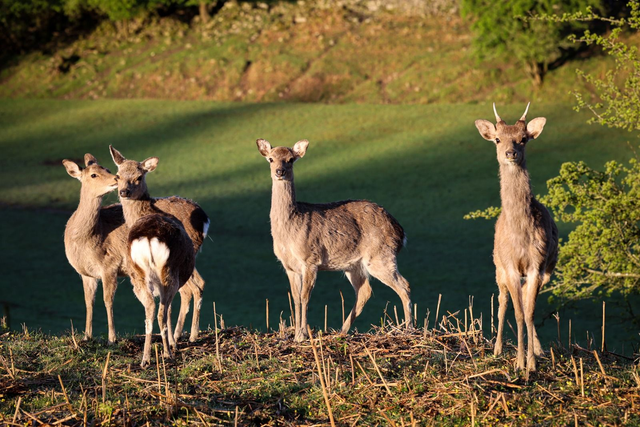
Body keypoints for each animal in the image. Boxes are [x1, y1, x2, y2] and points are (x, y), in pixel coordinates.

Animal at [63, 154, 127, 344]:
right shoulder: (85, 273)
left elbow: (108, 300)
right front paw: (86, 336)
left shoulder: (110, 265)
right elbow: (88, 301)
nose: (117, 178)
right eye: (93, 175)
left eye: (107, 168)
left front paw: (112, 338)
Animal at [110, 146, 210, 344]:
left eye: (139, 177)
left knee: (184, 292)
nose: (124, 192)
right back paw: (187, 335)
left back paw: (179, 338)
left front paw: (171, 340)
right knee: (197, 286)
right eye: (117, 176)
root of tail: (204, 220)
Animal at [256, 138, 413, 342]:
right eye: (270, 159)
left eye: (290, 159)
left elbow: (305, 297)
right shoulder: (289, 266)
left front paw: (302, 335)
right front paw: (297, 335)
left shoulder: (310, 259)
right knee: (365, 291)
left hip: (380, 256)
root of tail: (400, 232)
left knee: (404, 285)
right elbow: (295, 298)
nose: (279, 171)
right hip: (354, 265)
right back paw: (342, 331)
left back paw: (410, 329)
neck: (289, 231)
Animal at [474, 103, 558, 373]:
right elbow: (518, 314)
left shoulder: (536, 266)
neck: (520, 234)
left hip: (546, 271)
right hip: (498, 268)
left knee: (521, 299)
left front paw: (531, 362)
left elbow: (529, 313)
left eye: (523, 139)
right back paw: (498, 349)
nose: (510, 153)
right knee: (502, 303)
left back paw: (538, 349)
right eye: (498, 139)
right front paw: (520, 362)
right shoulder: (510, 266)